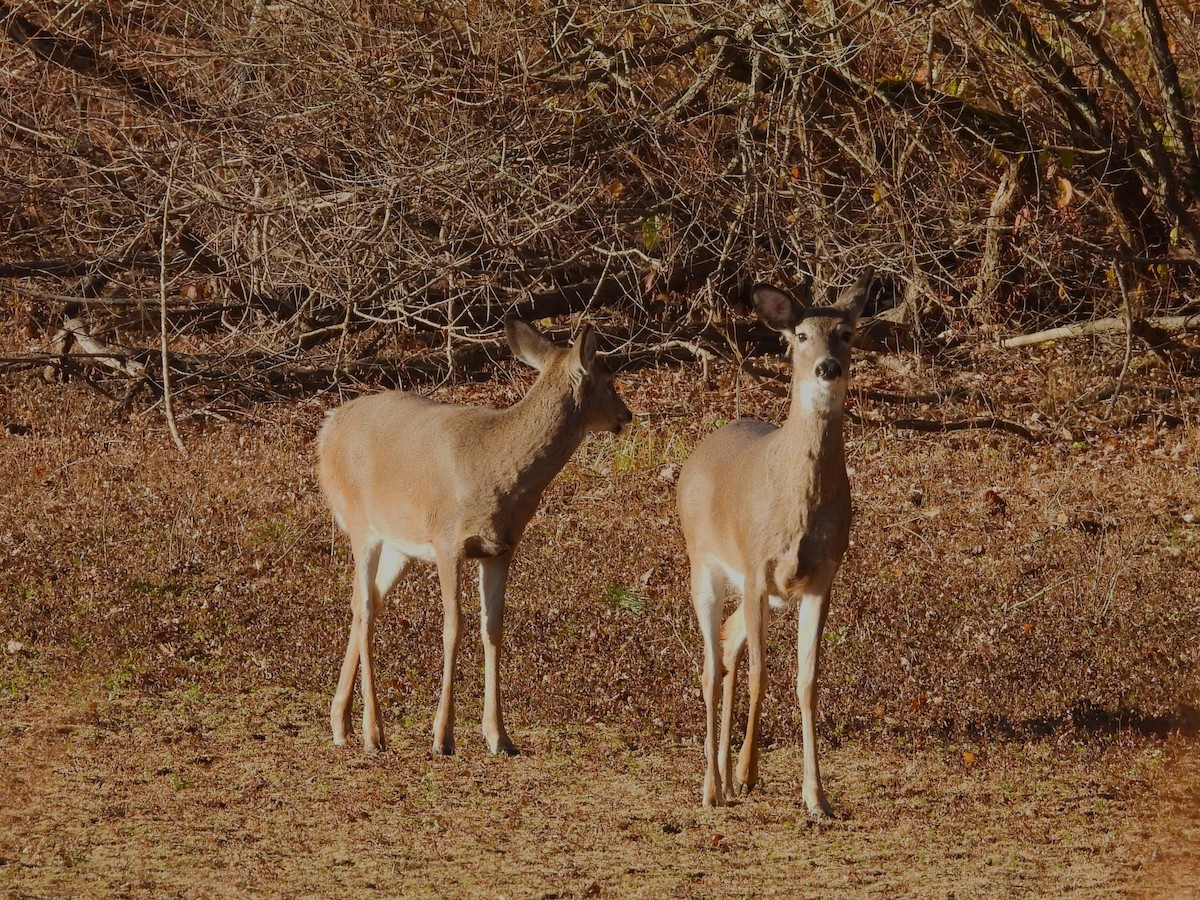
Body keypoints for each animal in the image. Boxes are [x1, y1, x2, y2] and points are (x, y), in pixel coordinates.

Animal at [318, 318, 632, 757]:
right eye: (608, 379)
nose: (626, 415)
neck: (496, 467)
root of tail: (327, 428)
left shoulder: (500, 548)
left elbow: (492, 629)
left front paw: (499, 736)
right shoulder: (447, 541)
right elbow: (453, 627)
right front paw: (442, 736)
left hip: (399, 545)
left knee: (368, 603)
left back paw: (341, 723)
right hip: (362, 525)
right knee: (363, 606)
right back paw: (372, 732)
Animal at [676, 267, 874, 812]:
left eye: (847, 333)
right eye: (800, 336)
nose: (827, 366)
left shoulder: (822, 575)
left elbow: (807, 681)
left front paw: (817, 797)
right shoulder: (757, 566)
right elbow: (762, 674)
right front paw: (747, 773)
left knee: (727, 645)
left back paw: (722, 777)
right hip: (705, 563)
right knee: (710, 666)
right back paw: (712, 786)